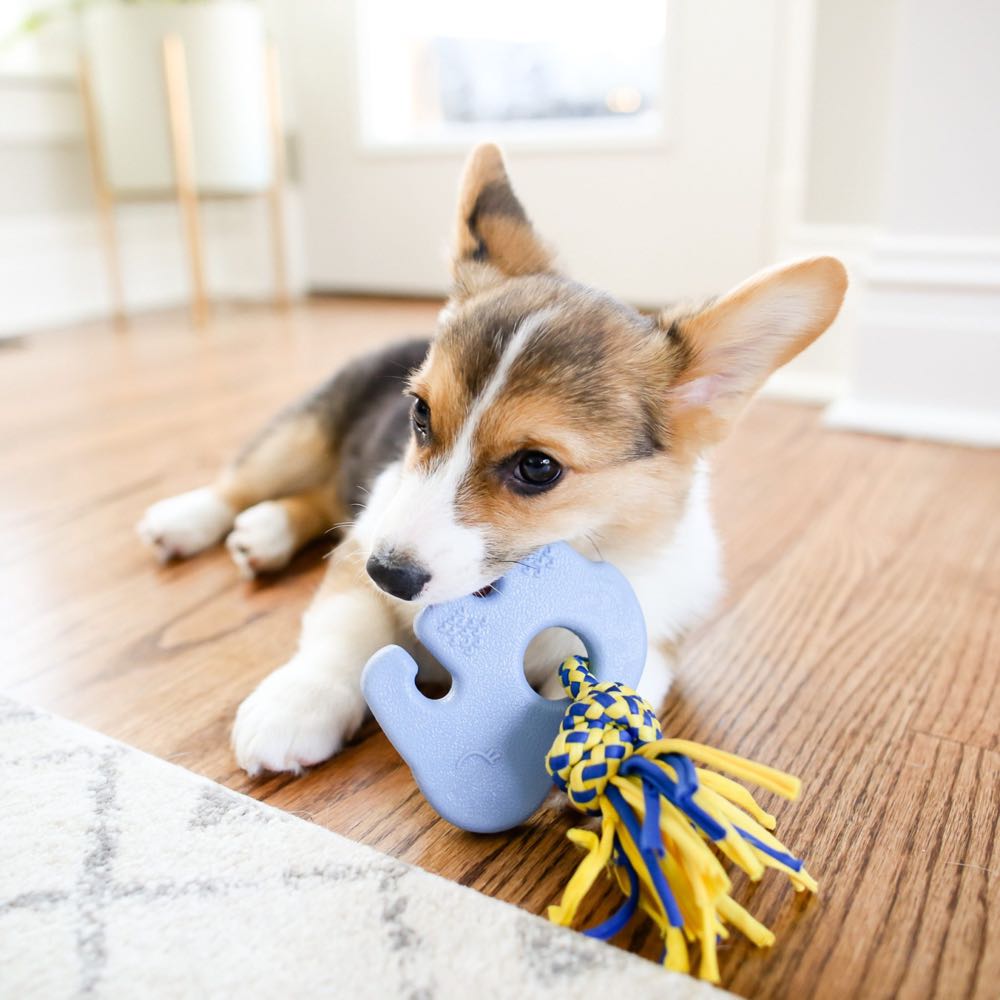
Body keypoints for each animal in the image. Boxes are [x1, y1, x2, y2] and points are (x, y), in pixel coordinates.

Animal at [137, 145, 848, 776]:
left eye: (537, 467)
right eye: (420, 415)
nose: (388, 574)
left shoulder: (658, 634)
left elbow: (632, 680)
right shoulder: (366, 542)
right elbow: (340, 630)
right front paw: (296, 704)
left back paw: (264, 533)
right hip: (306, 432)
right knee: (246, 482)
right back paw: (191, 521)